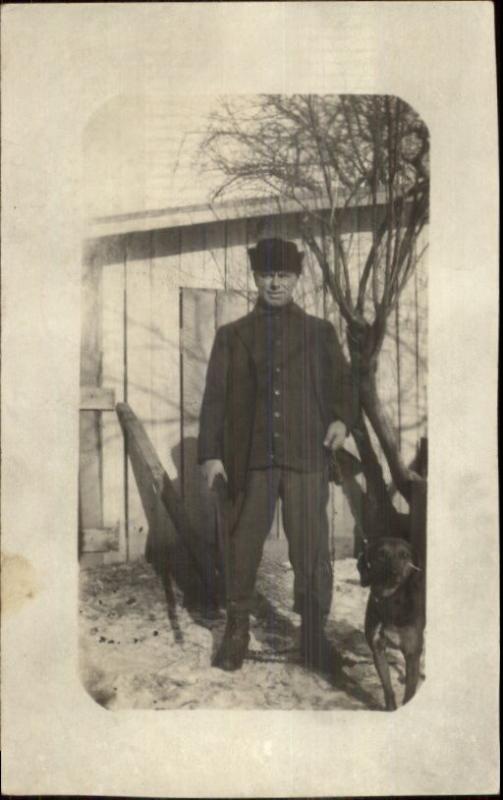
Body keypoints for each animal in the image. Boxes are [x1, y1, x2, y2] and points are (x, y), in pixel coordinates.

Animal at [358, 536, 426, 712]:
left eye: (405, 555)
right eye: (381, 554)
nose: (394, 573)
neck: (390, 602)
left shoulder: (412, 652)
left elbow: (409, 694)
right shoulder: (377, 649)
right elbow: (387, 687)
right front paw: (391, 708)